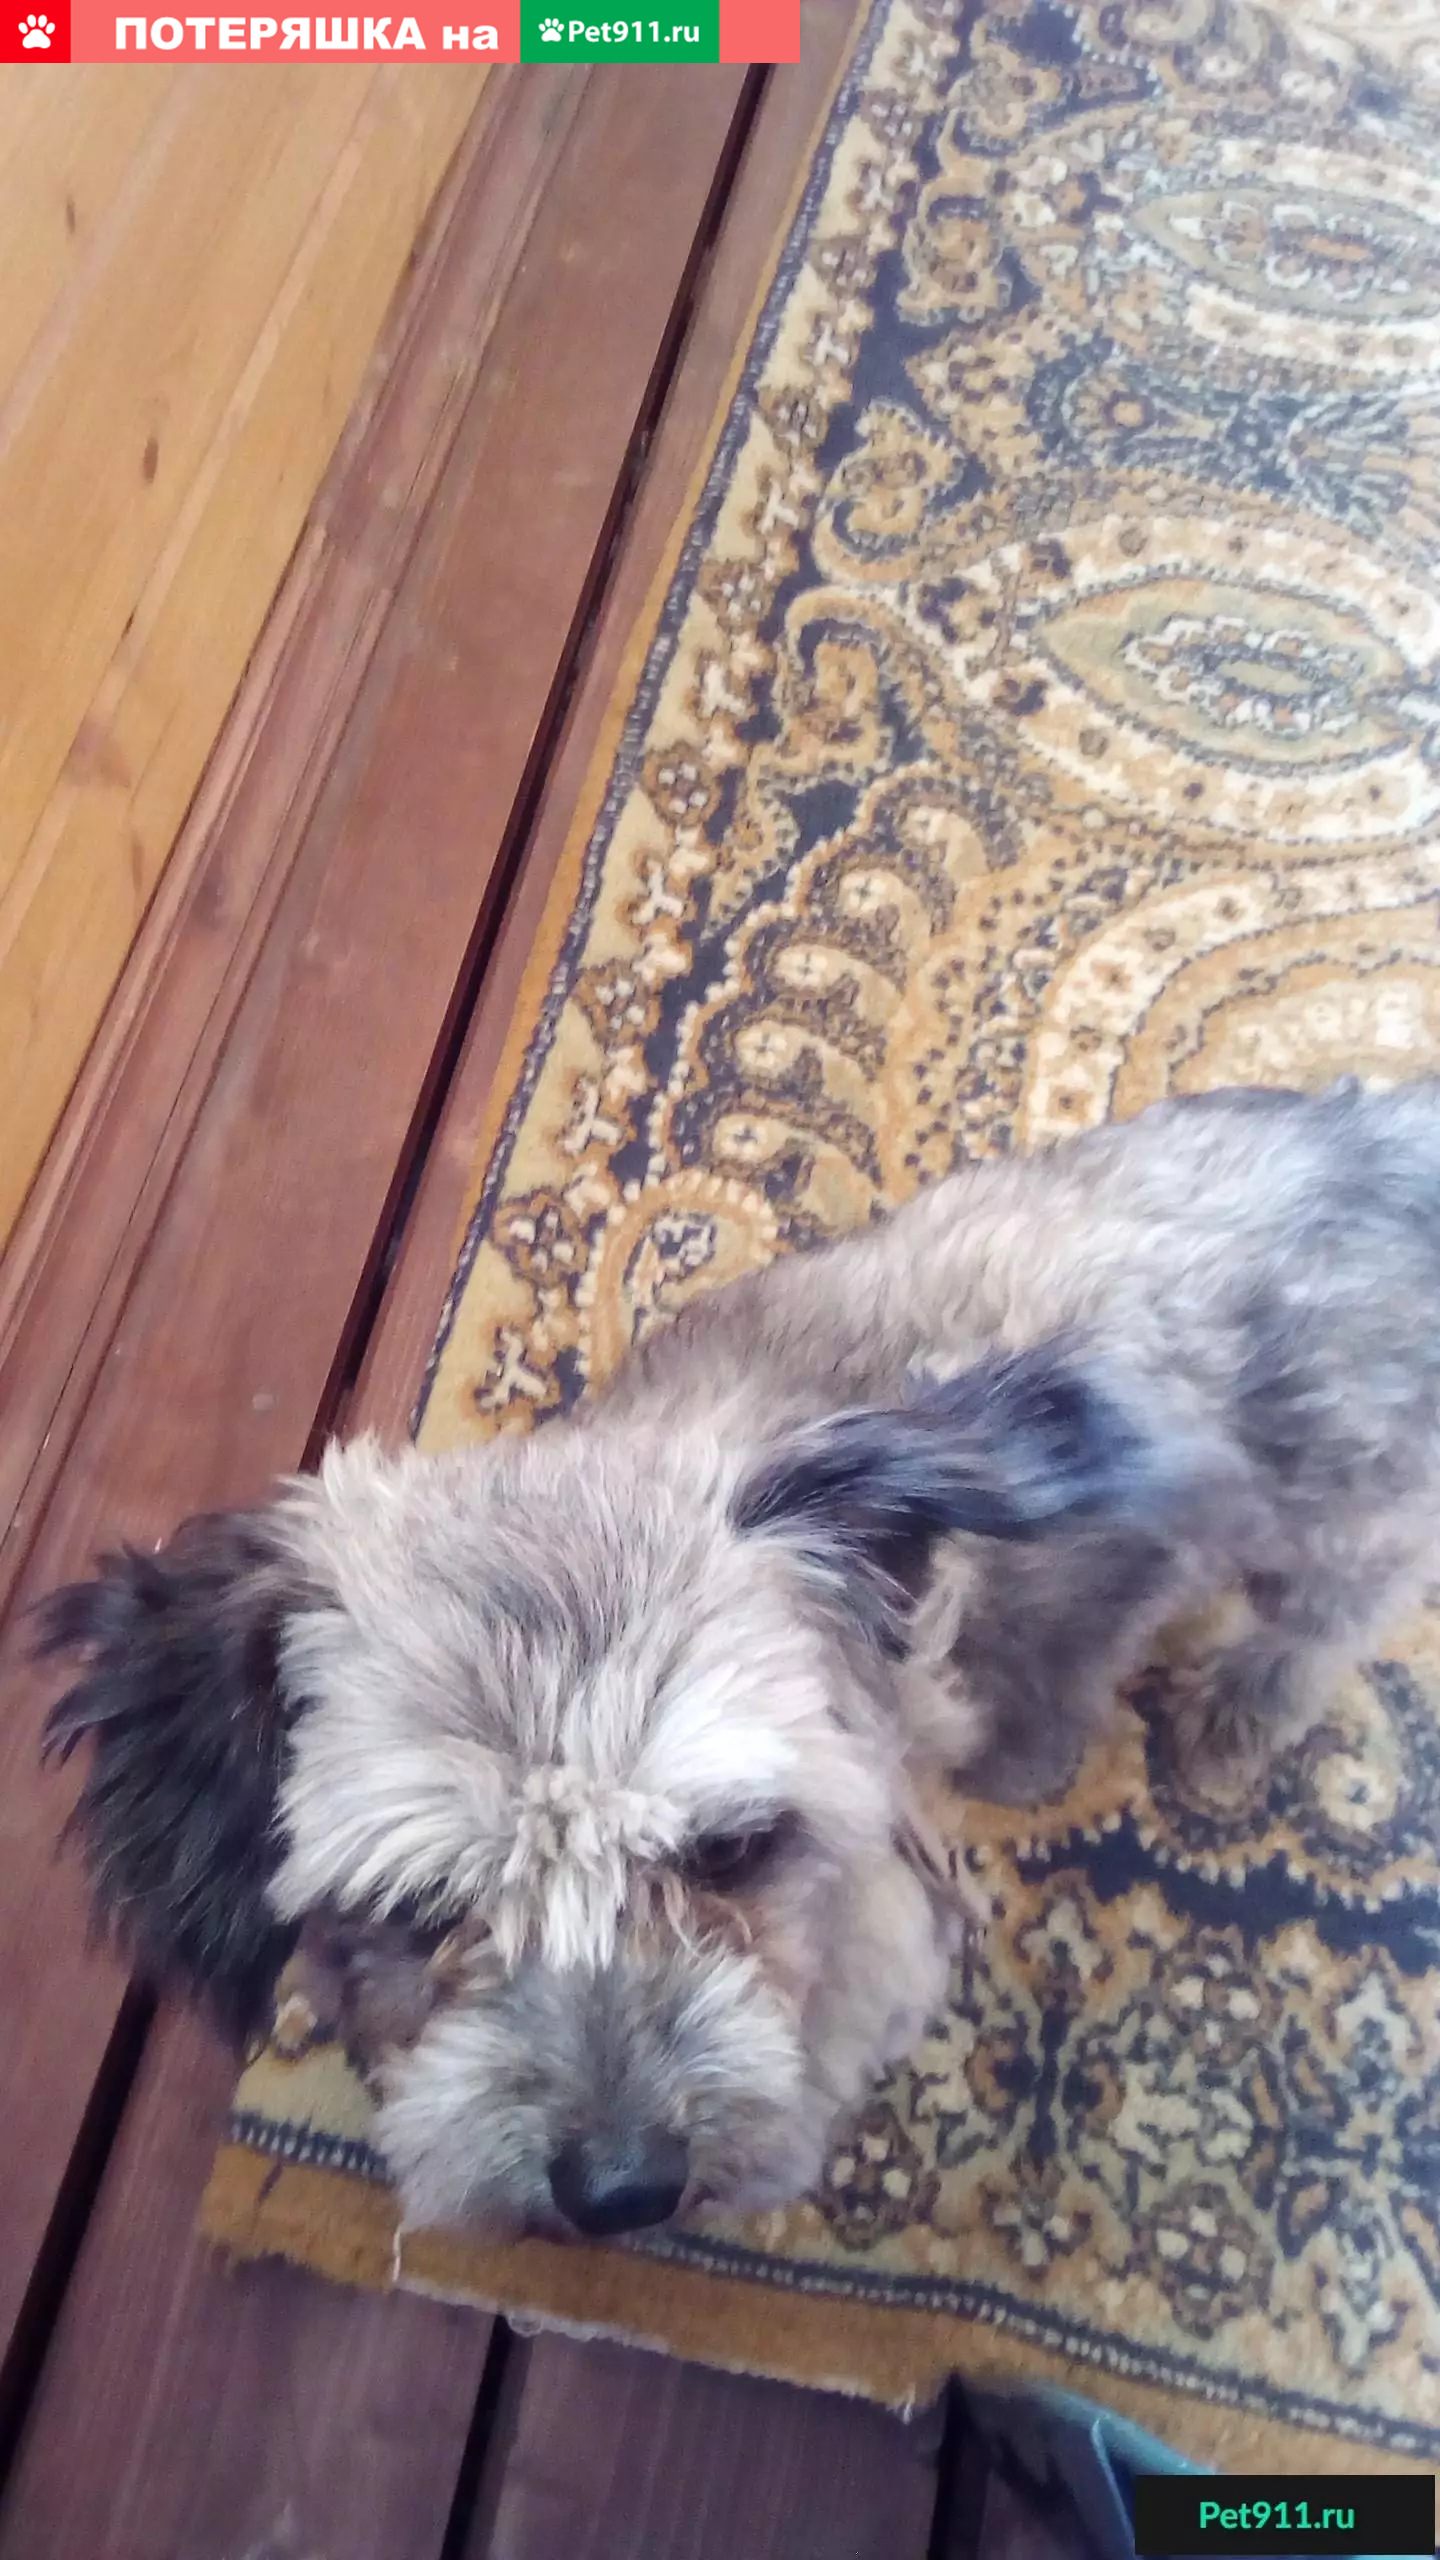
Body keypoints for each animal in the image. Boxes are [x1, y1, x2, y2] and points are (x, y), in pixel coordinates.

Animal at [37, 1077, 1440, 2240]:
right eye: (426, 1905)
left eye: (731, 1848)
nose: (621, 2191)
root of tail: (1375, 1131)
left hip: (1330, 1515)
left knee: (1333, 1608)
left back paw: (1229, 1711)